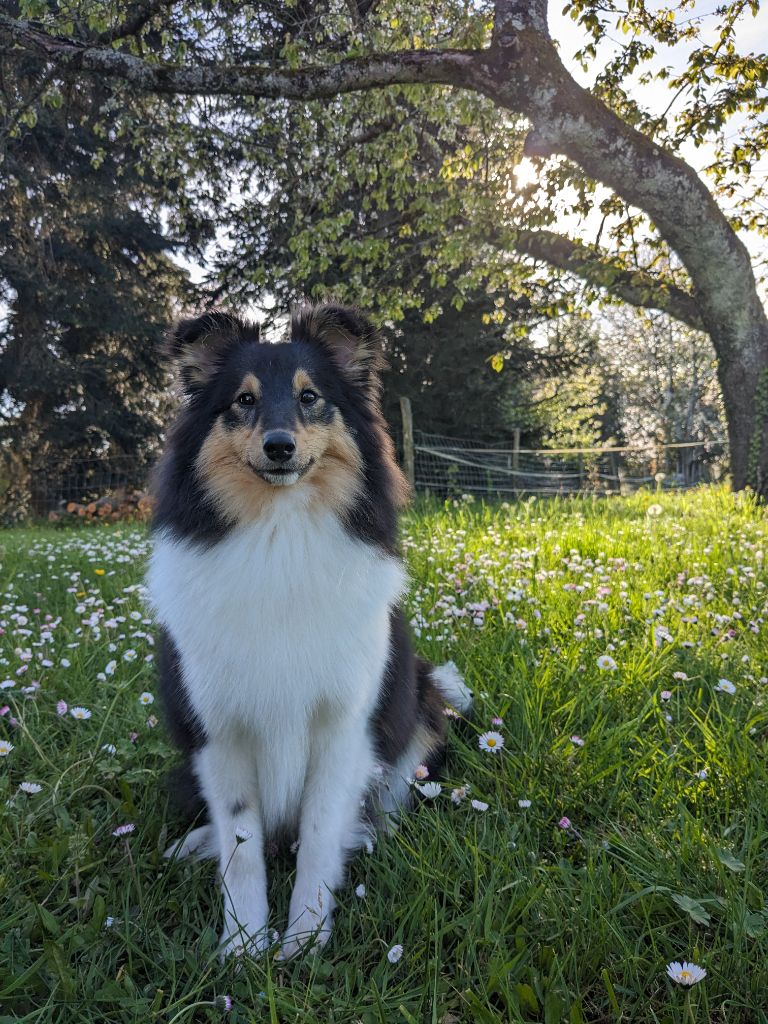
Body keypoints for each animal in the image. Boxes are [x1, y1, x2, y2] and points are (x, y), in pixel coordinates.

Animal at [143, 303, 468, 958]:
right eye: (243, 400)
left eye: (310, 396)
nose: (279, 446)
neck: (280, 536)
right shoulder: (218, 734)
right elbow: (241, 848)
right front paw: (244, 948)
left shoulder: (344, 726)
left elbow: (319, 833)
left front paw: (305, 939)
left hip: (421, 704)